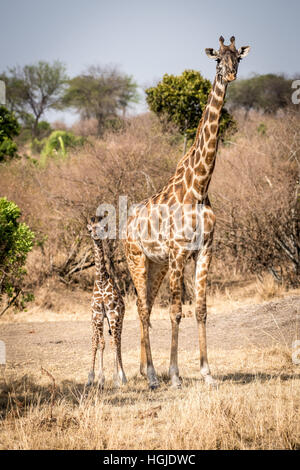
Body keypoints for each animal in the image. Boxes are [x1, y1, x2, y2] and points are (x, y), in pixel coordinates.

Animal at [124, 35, 251, 390]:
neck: (200, 187)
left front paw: (208, 374)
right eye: (217, 58)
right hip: (137, 260)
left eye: (238, 57)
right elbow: (176, 312)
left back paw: (145, 371)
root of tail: (125, 226)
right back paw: (153, 377)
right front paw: (176, 376)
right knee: (142, 309)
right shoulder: (180, 252)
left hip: (156, 266)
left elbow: (201, 310)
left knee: (144, 307)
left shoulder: (205, 250)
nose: (230, 74)